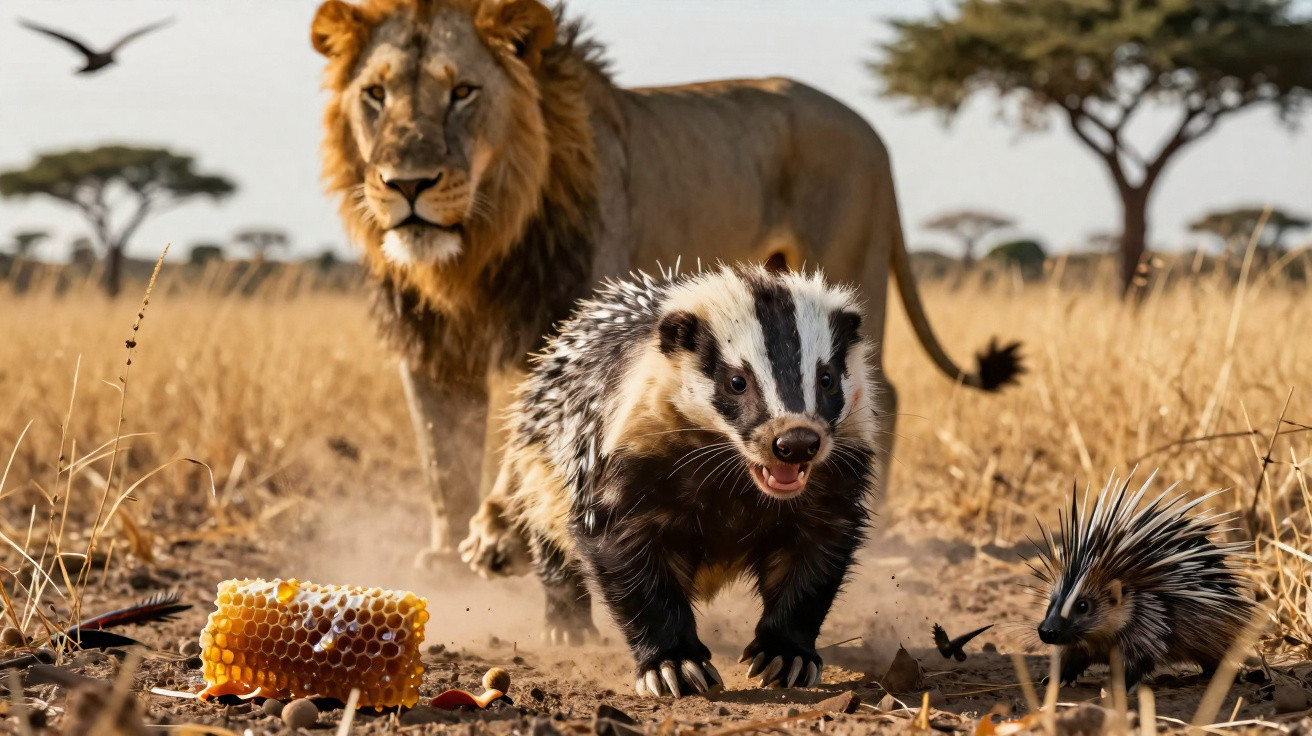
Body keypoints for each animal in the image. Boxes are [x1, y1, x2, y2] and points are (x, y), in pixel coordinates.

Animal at [310, 0, 1021, 567]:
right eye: (374, 95)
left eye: (463, 92)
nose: (407, 184)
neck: (479, 245)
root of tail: (874, 133)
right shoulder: (430, 344)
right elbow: (442, 452)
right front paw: (443, 549)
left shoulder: (566, 319)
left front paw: (497, 536)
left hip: (844, 266)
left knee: (879, 390)